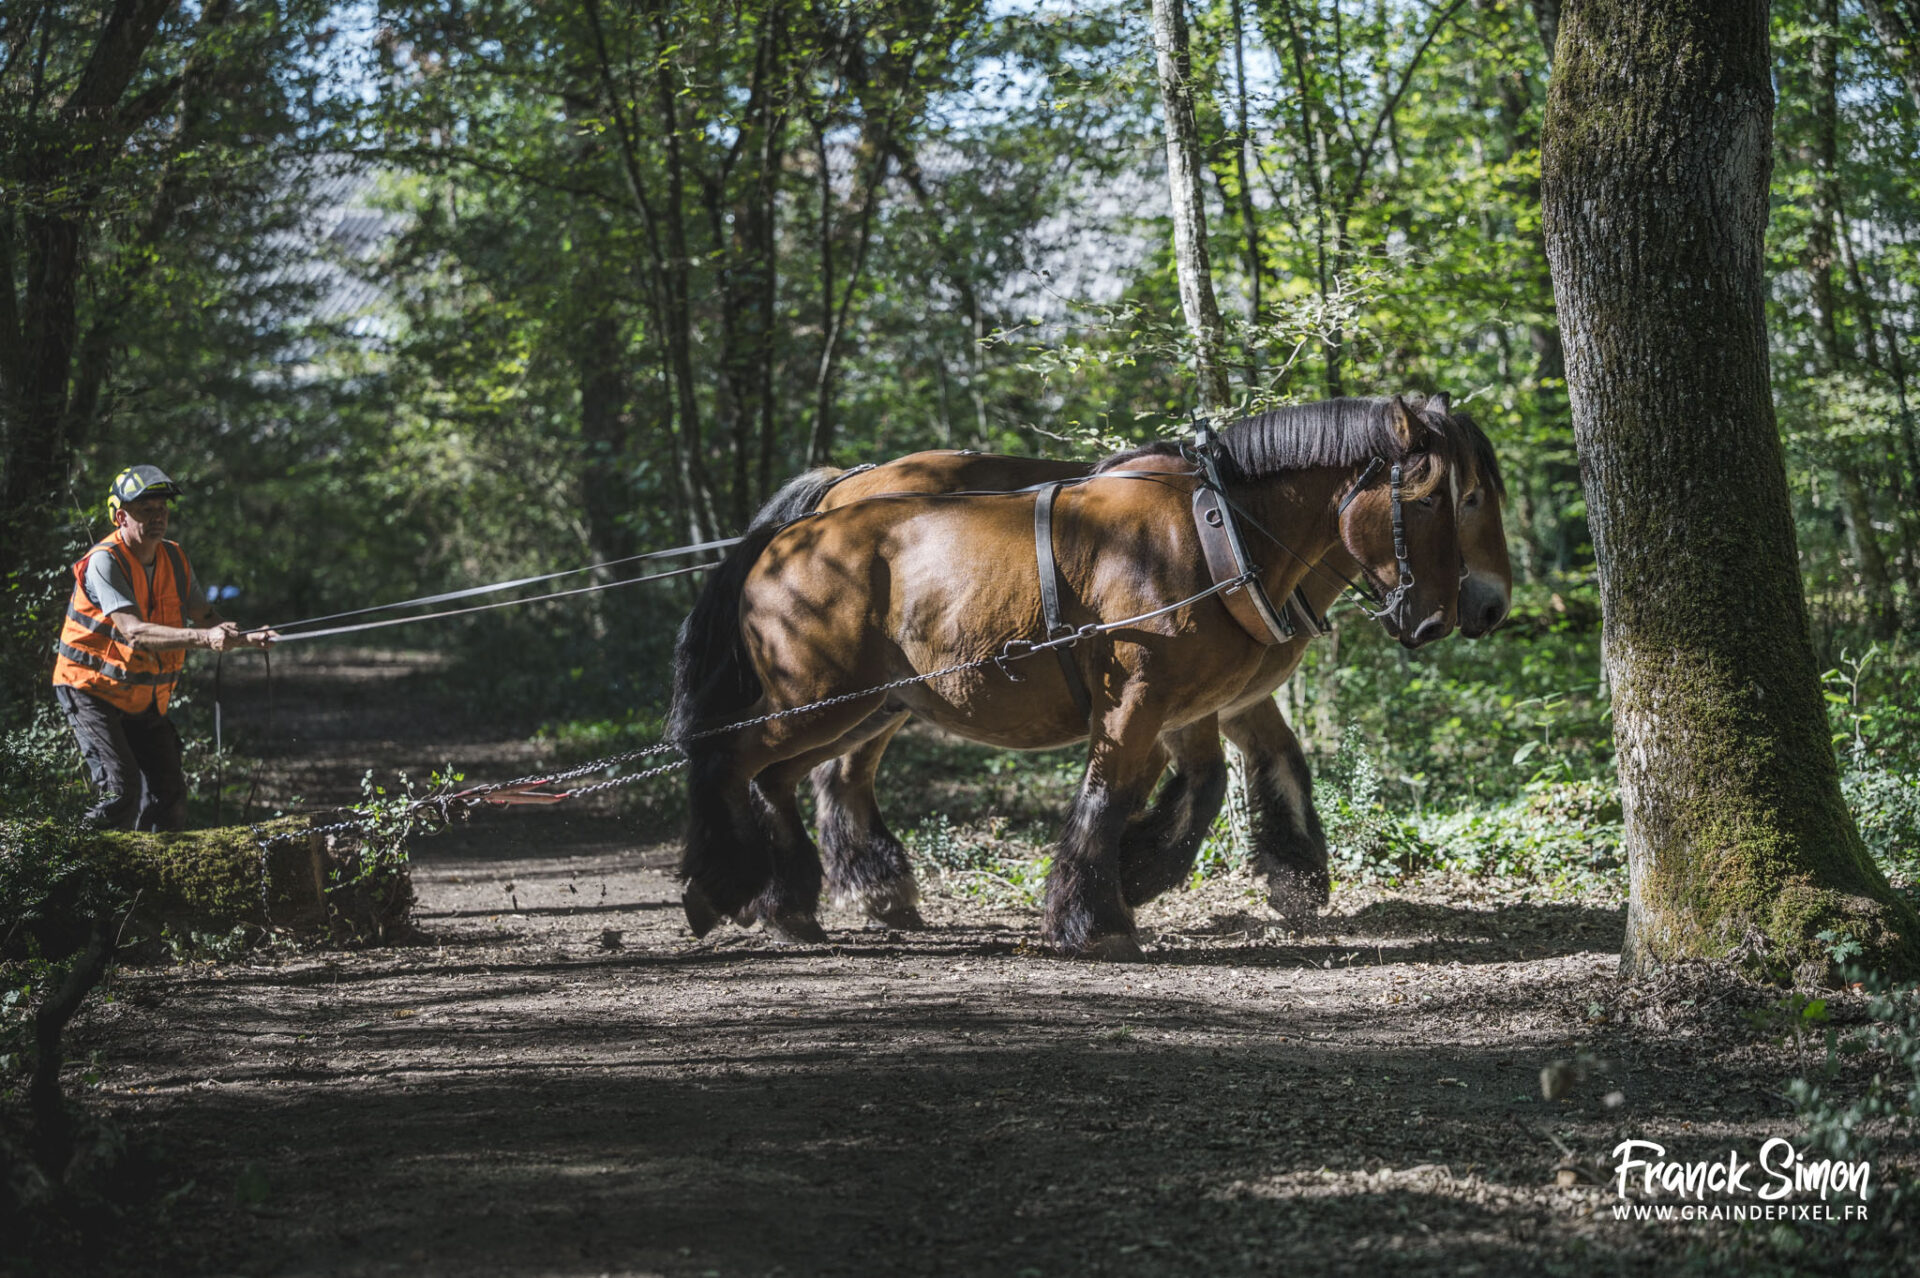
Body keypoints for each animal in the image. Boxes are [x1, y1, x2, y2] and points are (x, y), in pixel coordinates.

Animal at [668, 395, 1473, 960]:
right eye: (1439, 499)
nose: (1474, 608)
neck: (1227, 531)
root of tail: (810, 514)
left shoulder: (1210, 697)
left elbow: (1238, 772)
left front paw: (1256, 871)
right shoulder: (1155, 693)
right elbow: (1145, 785)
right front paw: (1111, 904)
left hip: (869, 699)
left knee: (799, 775)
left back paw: (819, 899)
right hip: (832, 696)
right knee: (754, 759)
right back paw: (746, 885)